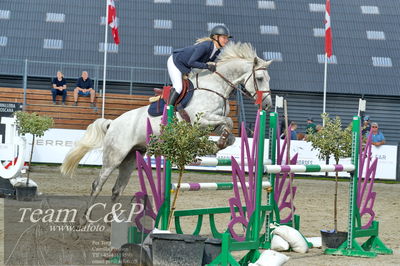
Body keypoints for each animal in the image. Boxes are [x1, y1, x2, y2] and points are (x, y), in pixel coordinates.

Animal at [60, 42, 272, 204]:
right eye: (260, 78)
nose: (268, 105)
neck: (215, 86)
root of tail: (113, 123)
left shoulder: (213, 122)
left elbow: (230, 133)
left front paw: (217, 144)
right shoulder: (201, 120)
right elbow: (227, 122)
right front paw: (215, 145)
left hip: (130, 158)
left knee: (116, 190)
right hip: (115, 156)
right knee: (98, 185)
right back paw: (82, 223)